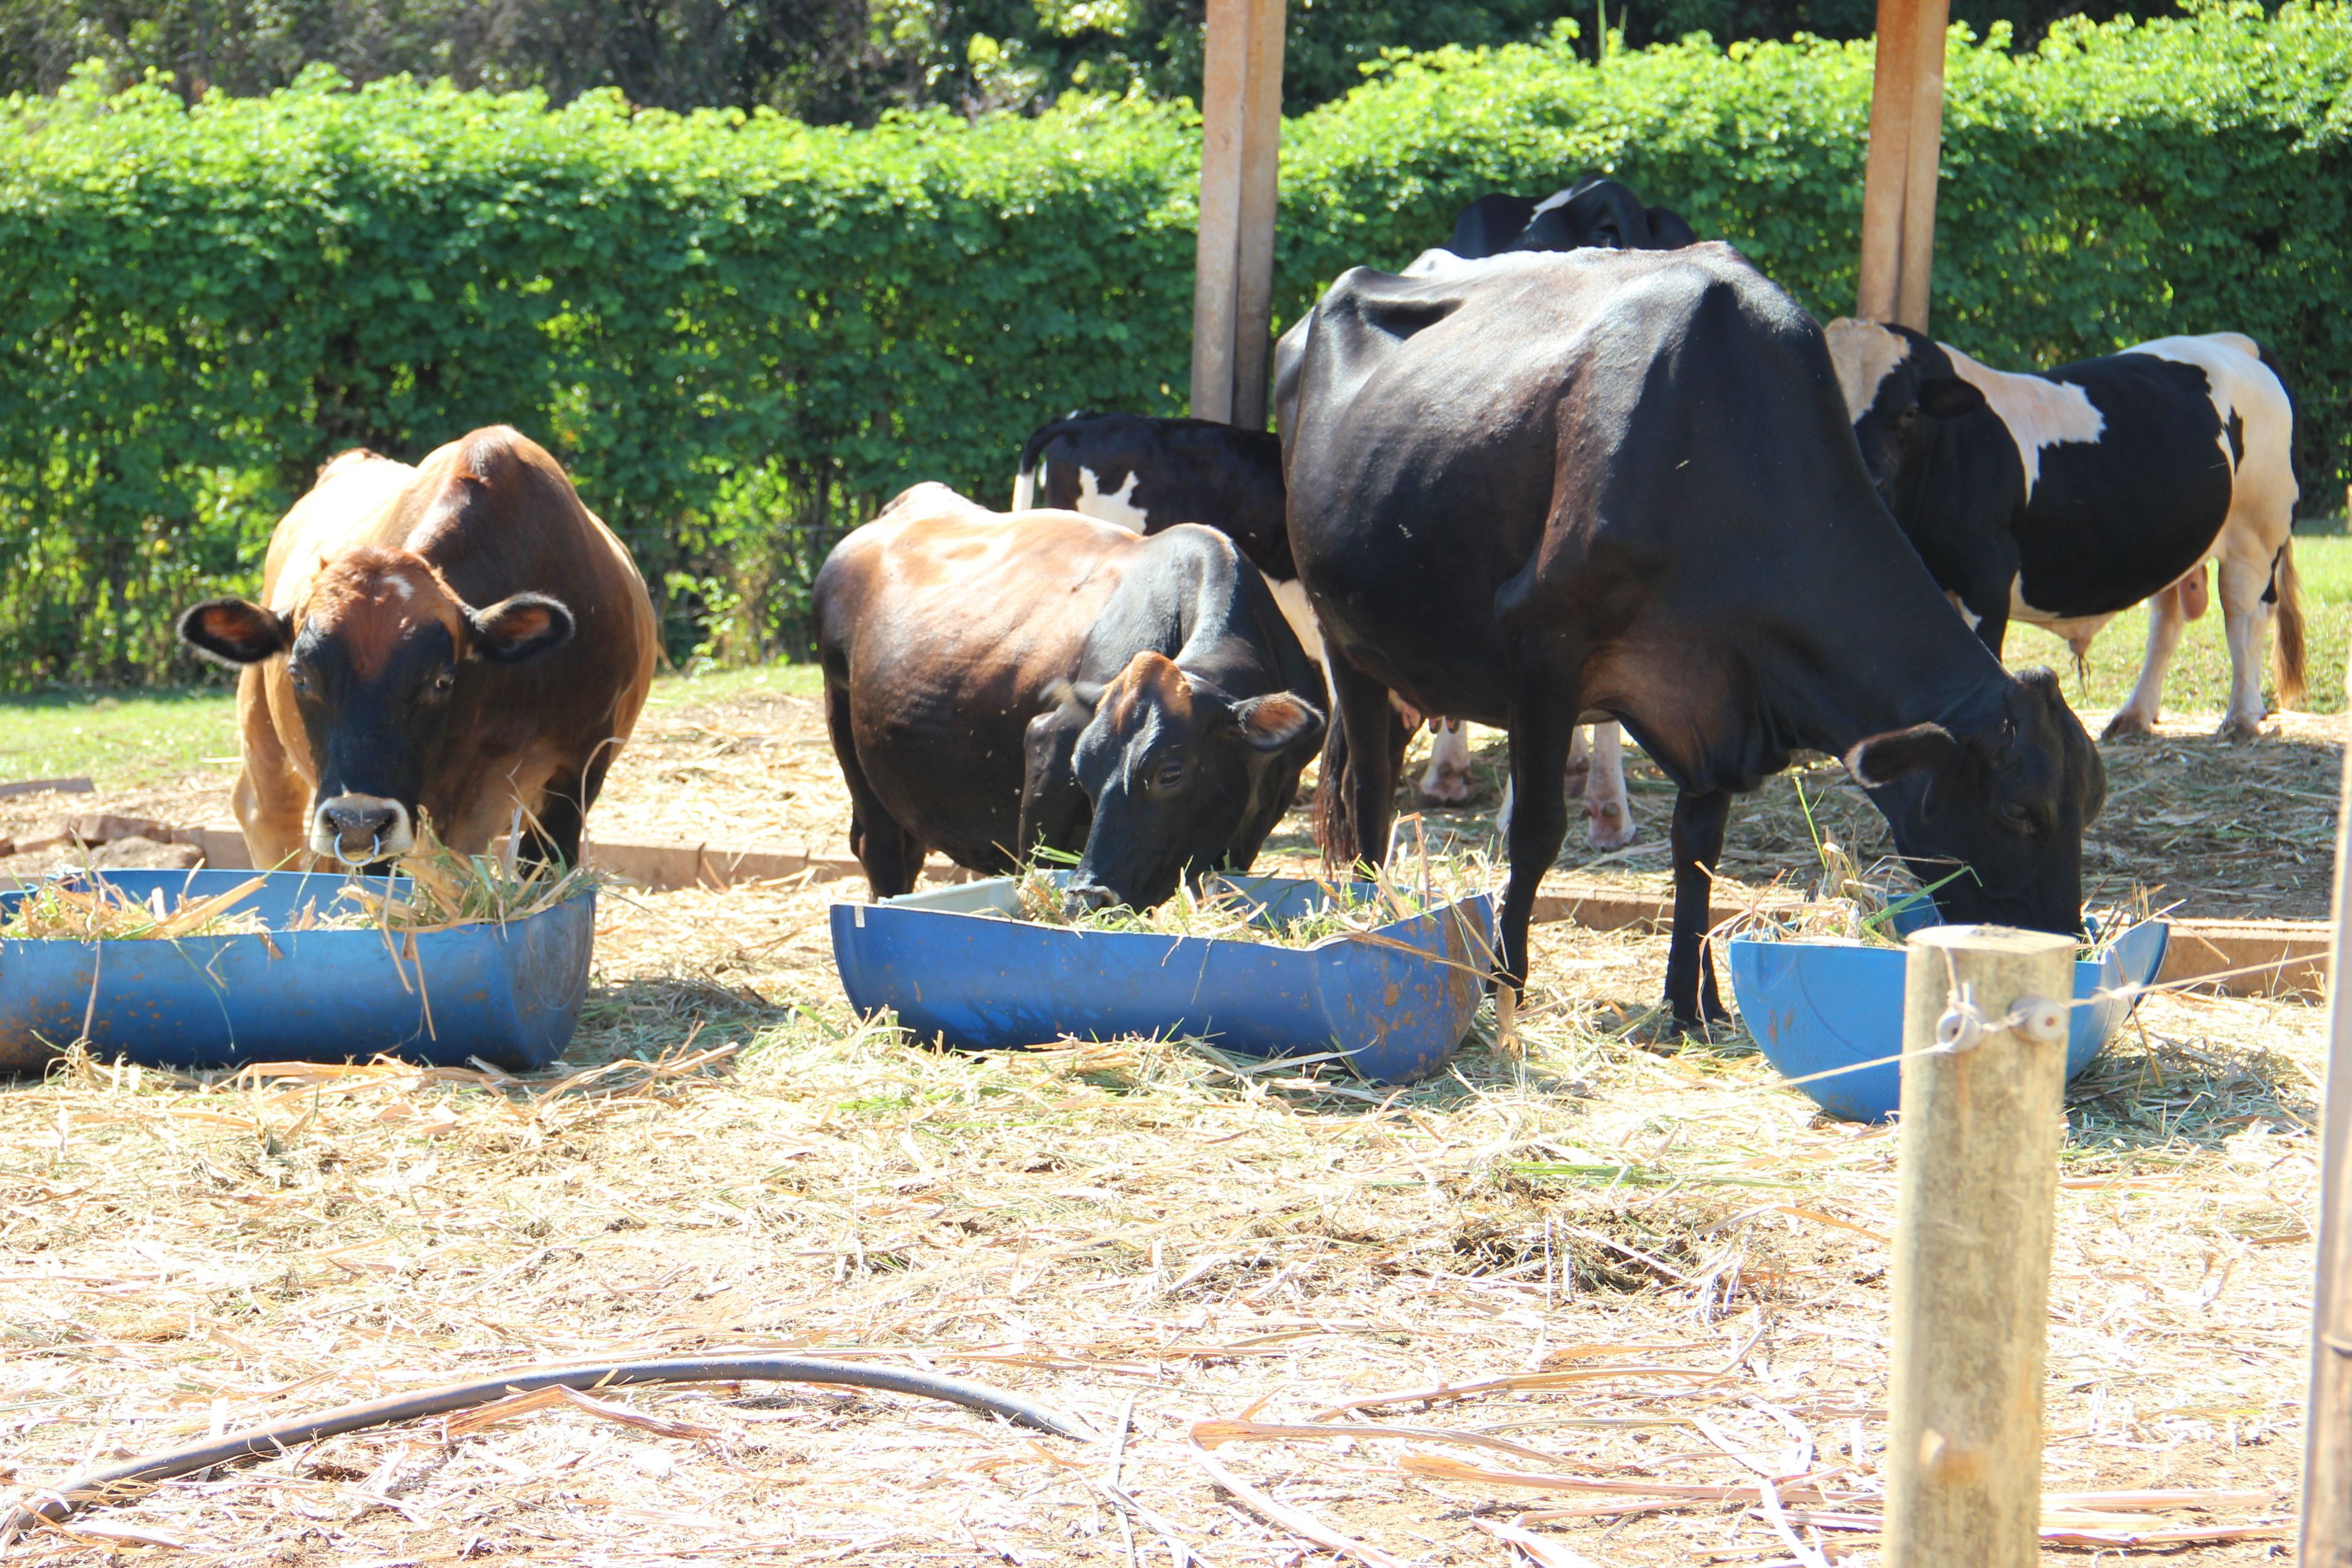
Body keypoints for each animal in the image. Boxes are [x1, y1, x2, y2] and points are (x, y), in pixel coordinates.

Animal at [177, 428, 658, 871]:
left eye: (442, 679)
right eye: (299, 674)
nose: (356, 820)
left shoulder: (573, 780)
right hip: (264, 735)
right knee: (266, 814)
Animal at [813, 484, 1324, 910]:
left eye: (1170, 773)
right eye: (1083, 770)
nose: (1091, 895)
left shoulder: (1262, 811)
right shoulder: (1049, 748)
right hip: (843, 724)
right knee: (882, 849)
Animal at [1281, 245, 2105, 1028]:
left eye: (2088, 808)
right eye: (2017, 812)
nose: (2066, 948)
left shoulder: (1715, 694)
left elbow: (1698, 849)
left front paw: (1692, 1002)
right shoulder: (1545, 647)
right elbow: (1538, 832)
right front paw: (1504, 986)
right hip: (1341, 634)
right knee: (1368, 788)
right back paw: (1375, 921)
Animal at [1824, 319, 2305, 742]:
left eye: (1908, 413)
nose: (1864, 481)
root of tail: (2232, 342)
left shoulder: (1987, 576)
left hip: (2256, 533)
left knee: (2245, 616)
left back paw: (2242, 717)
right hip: (2176, 543)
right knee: (2166, 622)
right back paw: (2135, 715)